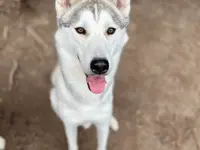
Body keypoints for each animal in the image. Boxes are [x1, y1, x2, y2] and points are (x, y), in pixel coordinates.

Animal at [50, 0, 131, 149]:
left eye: (110, 30)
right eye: (80, 30)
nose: (100, 66)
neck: (88, 98)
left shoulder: (102, 125)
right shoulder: (70, 126)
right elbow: (73, 145)